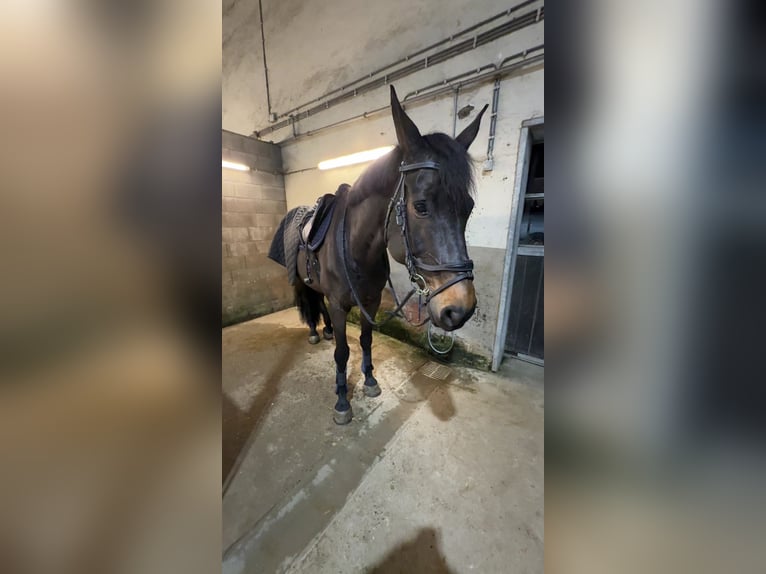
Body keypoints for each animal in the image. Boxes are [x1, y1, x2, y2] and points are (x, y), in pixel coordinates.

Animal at [275, 85, 487, 424]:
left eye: (468, 208)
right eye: (420, 206)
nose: (461, 309)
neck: (356, 249)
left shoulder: (371, 302)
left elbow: (365, 340)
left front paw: (371, 381)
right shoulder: (340, 304)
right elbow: (342, 353)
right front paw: (342, 401)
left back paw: (326, 331)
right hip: (301, 282)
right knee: (308, 302)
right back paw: (314, 333)